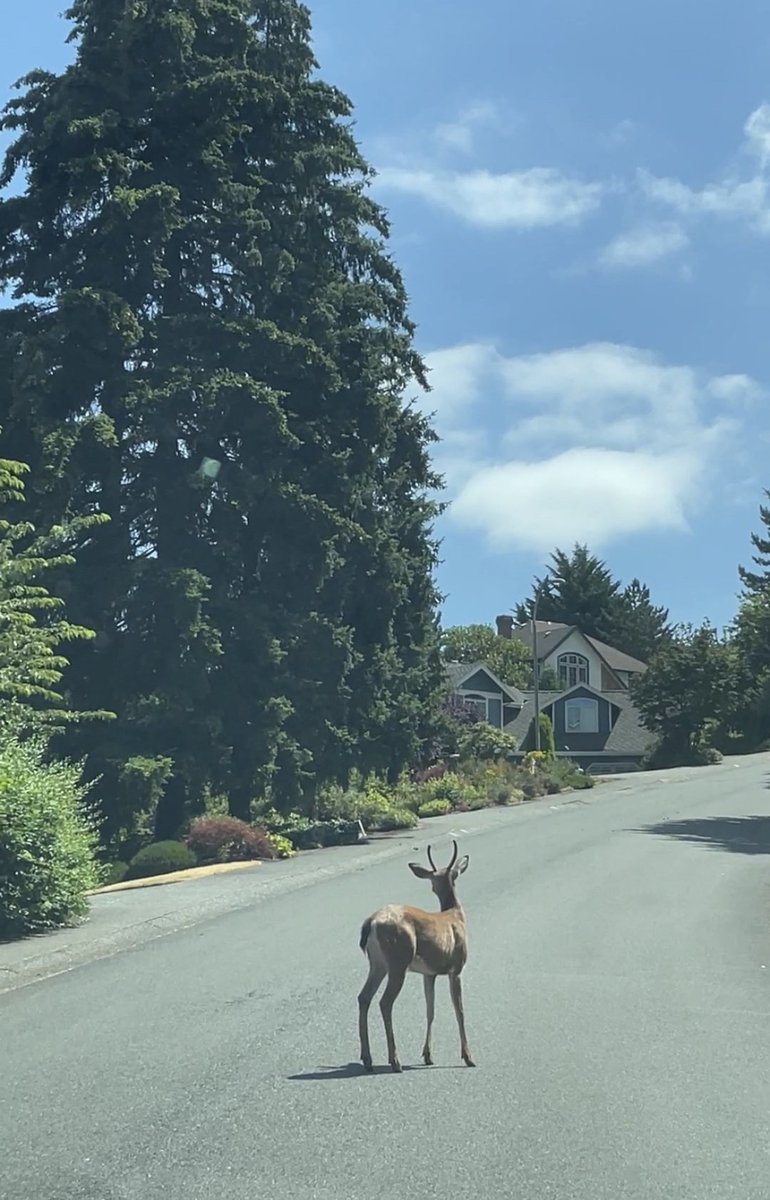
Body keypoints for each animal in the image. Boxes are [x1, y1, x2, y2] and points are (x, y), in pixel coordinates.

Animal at [357, 839, 475, 1074]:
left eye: (434, 881)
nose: (434, 887)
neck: (455, 915)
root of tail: (371, 922)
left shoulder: (428, 974)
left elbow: (430, 1010)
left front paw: (428, 1055)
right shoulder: (456, 968)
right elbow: (459, 1010)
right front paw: (468, 1057)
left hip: (378, 964)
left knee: (364, 997)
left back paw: (368, 1060)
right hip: (398, 961)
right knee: (385, 1002)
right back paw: (394, 1061)